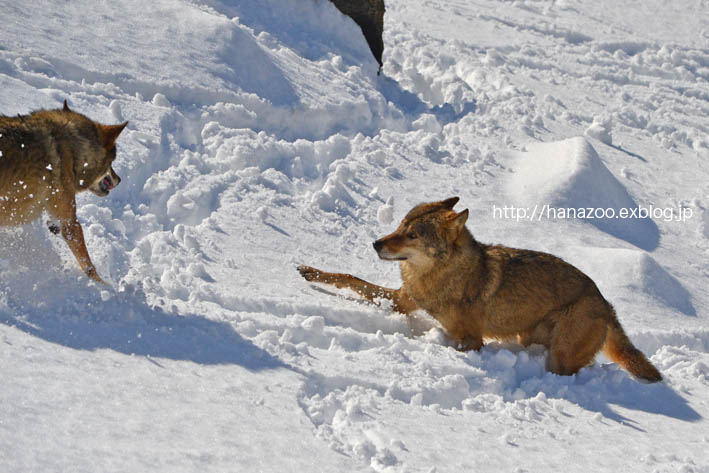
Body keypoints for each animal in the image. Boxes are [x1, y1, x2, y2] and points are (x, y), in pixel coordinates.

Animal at [0, 99, 127, 282]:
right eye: (112, 163)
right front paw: (103, 286)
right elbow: (88, 266)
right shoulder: (70, 223)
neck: (73, 150)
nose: (120, 179)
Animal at [298, 197, 664, 382]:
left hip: (560, 356)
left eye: (413, 235)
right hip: (531, 338)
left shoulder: (472, 340)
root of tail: (606, 303)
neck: (440, 275)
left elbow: (455, 344)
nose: (375, 243)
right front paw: (311, 272)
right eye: (400, 225)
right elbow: (350, 278)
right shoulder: (402, 301)